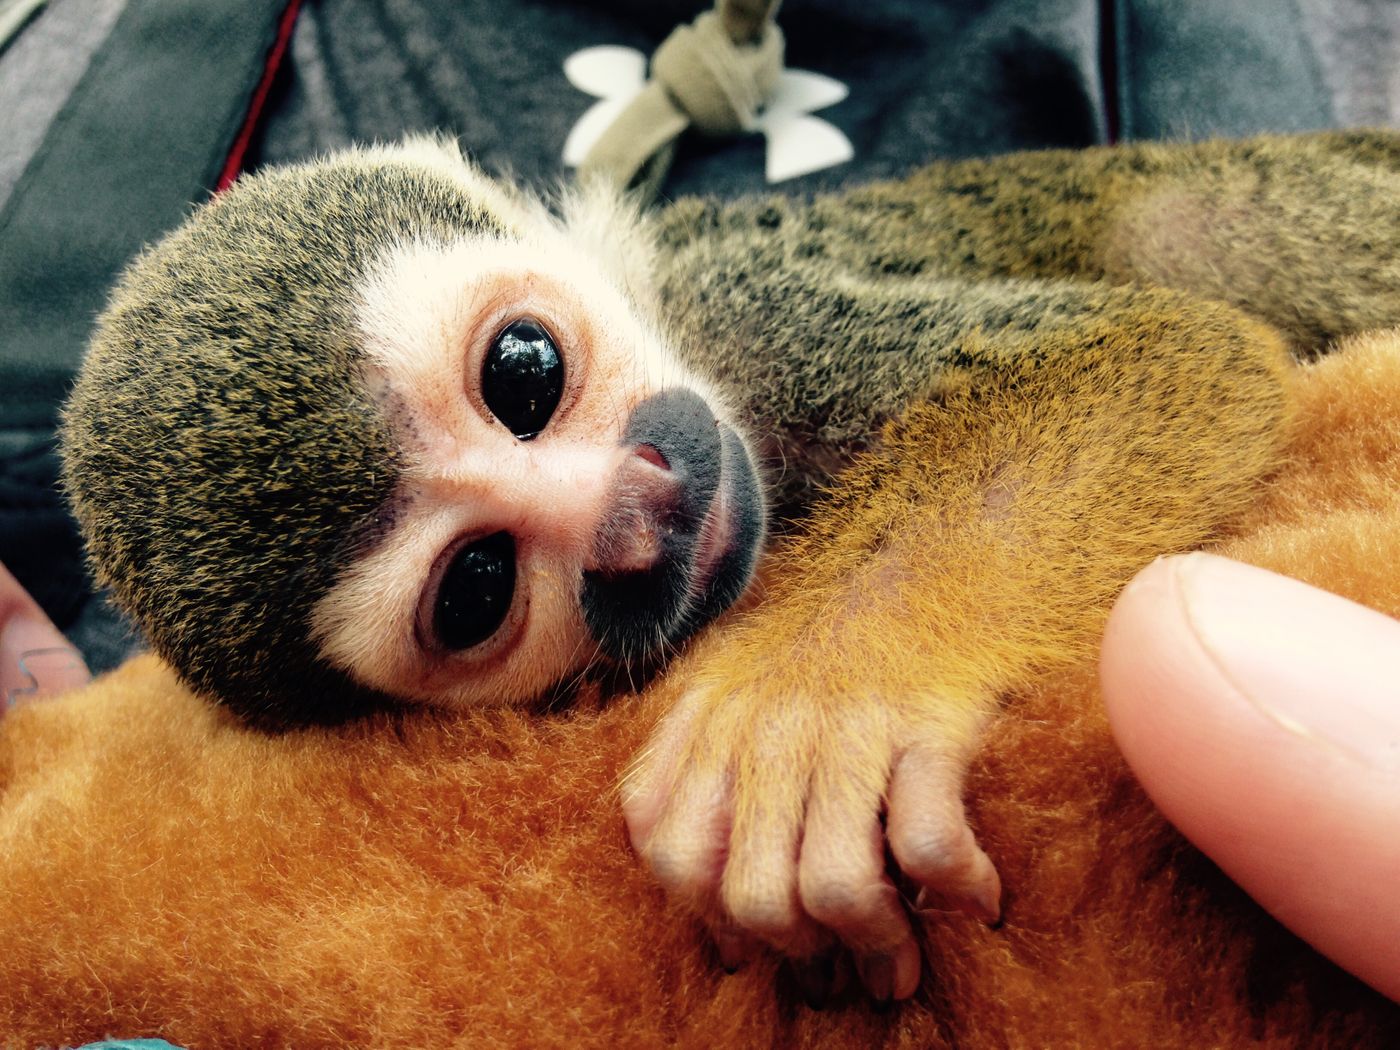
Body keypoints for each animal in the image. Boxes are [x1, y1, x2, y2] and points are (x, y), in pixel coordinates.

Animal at [60, 129, 1400, 1002]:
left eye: (524, 373)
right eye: (477, 588)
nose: (636, 508)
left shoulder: (758, 309)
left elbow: (1143, 349)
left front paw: (819, 695)